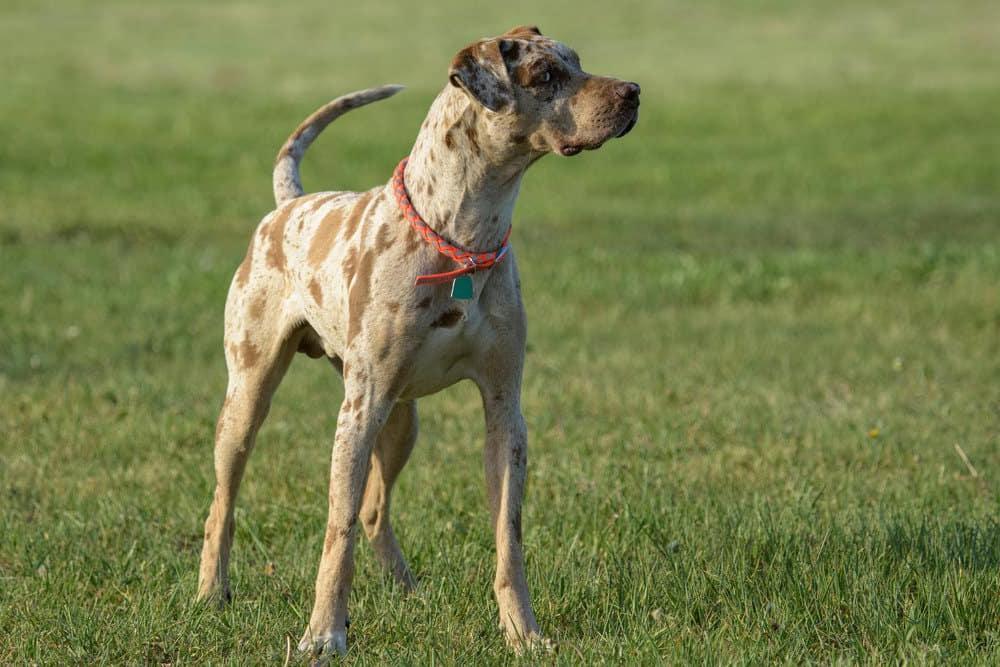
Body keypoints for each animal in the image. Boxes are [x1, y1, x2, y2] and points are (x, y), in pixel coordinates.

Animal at [195, 23, 640, 656]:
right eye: (544, 75)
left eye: (577, 60)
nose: (634, 92)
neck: (464, 238)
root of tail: (288, 205)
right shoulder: (357, 412)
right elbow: (336, 533)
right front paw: (323, 635)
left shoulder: (505, 412)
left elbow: (508, 539)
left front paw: (523, 633)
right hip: (251, 402)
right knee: (224, 505)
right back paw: (212, 593)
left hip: (403, 420)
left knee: (377, 512)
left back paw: (407, 590)